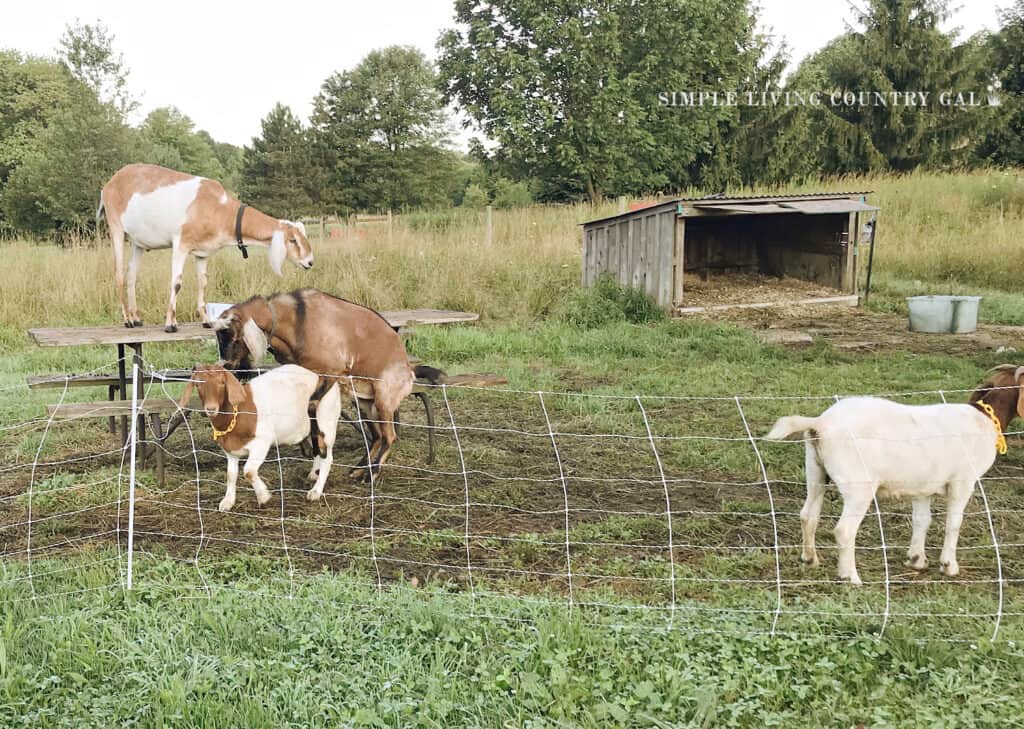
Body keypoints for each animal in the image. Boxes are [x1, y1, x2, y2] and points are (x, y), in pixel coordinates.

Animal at [101, 163, 315, 331]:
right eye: (293, 240)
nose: (309, 262)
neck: (217, 207)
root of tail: (110, 183)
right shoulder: (181, 244)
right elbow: (176, 282)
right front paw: (170, 324)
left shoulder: (203, 253)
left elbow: (202, 282)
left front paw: (206, 320)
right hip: (116, 228)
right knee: (118, 273)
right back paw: (128, 320)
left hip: (137, 242)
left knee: (131, 274)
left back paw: (136, 318)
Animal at [180, 362, 344, 509]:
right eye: (198, 385)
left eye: (222, 383)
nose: (211, 409)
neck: (238, 412)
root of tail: (321, 376)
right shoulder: (230, 450)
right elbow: (231, 475)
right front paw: (227, 502)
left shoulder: (261, 443)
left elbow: (249, 471)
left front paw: (263, 497)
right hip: (311, 428)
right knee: (316, 450)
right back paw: (313, 474)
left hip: (327, 422)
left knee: (327, 457)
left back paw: (315, 491)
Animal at [210, 286, 444, 481]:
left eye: (231, 335)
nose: (227, 365)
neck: (296, 320)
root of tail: (409, 369)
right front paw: (312, 457)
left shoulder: (331, 373)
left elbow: (312, 409)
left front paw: (316, 457)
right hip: (364, 402)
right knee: (377, 436)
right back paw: (359, 469)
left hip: (384, 399)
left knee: (390, 436)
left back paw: (372, 473)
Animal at [765, 364, 1019, 585]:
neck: (986, 418)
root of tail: (821, 423)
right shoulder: (962, 481)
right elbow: (953, 522)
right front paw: (949, 566)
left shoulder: (923, 486)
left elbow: (922, 520)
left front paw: (916, 560)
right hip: (858, 486)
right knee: (844, 530)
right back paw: (851, 577)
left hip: (815, 470)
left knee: (808, 515)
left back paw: (810, 559)